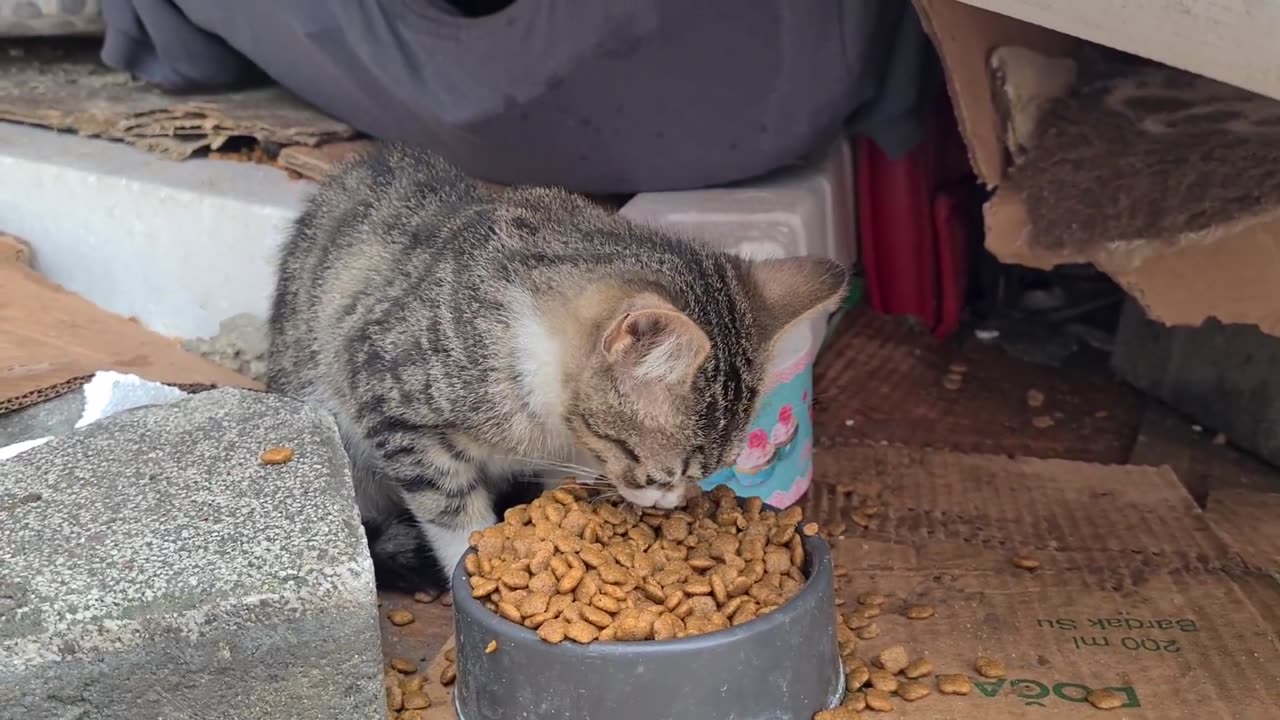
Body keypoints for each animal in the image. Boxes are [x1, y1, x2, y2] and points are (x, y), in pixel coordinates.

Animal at [267, 144, 849, 589]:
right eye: (655, 470)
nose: (668, 503)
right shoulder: (391, 399)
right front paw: (472, 568)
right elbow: (451, 510)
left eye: (706, 473)